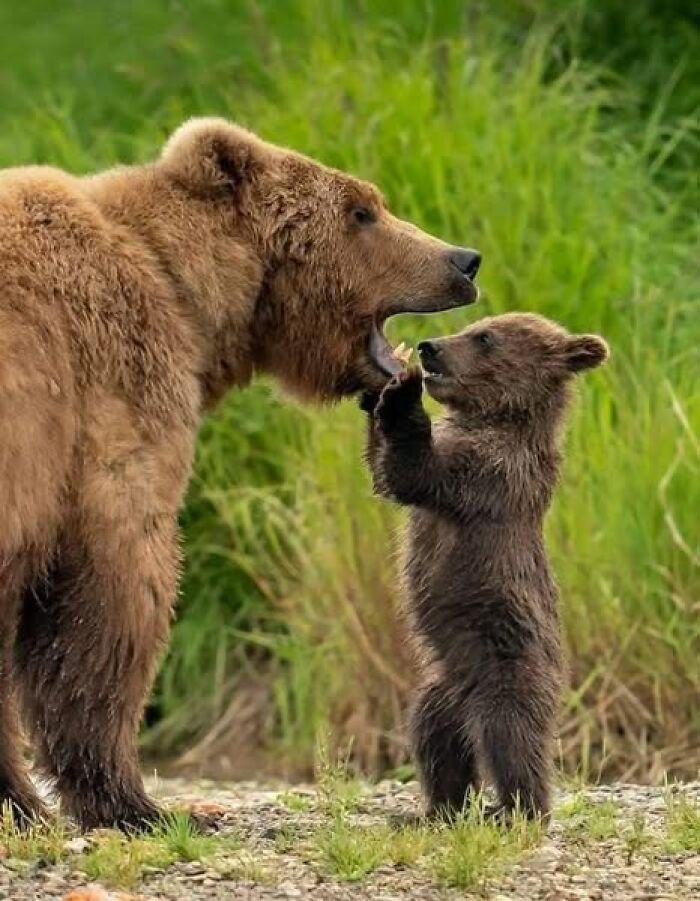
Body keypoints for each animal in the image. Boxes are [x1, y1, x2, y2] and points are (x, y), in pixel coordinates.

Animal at [0, 117, 481, 830]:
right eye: (361, 210)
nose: (464, 260)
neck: (185, 292)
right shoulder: (104, 396)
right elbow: (114, 587)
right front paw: (137, 804)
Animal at [361, 313, 608, 819]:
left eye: (485, 337)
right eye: (476, 326)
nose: (430, 346)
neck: (494, 418)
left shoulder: (493, 472)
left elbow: (414, 473)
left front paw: (403, 391)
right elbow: (385, 473)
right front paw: (379, 388)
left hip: (508, 664)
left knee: (510, 735)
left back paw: (516, 808)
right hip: (441, 692)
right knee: (435, 738)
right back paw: (437, 810)